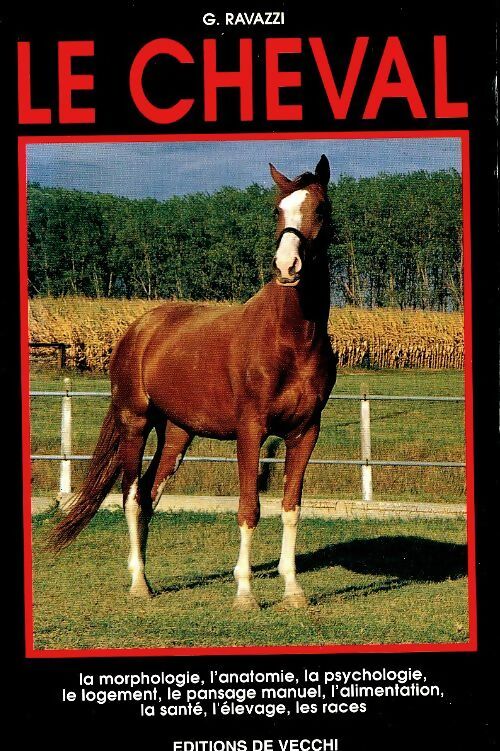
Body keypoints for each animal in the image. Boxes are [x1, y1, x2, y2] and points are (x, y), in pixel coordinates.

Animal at [50, 155, 337, 609]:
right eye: (277, 211)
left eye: (320, 210)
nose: (287, 267)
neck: (291, 339)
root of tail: (138, 330)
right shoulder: (250, 431)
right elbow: (249, 508)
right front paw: (245, 593)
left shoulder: (306, 431)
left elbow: (291, 507)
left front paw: (293, 589)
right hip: (135, 423)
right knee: (131, 497)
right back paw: (138, 583)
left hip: (177, 434)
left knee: (148, 495)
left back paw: (147, 578)